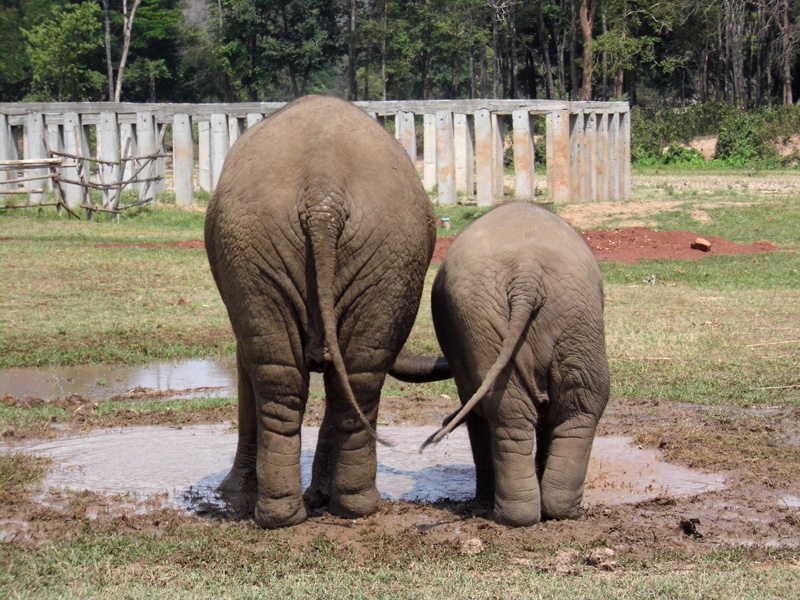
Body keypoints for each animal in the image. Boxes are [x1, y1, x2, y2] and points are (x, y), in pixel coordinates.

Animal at [204, 95, 436, 528]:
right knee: (356, 378)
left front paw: (233, 493)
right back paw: (350, 508)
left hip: (269, 248)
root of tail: (323, 196)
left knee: (283, 379)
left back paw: (285, 515)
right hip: (383, 247)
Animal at [421, 202, 610, 527]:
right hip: (548, 317)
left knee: (567, 405)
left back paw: (533, 513)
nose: (444, 421)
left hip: (565, 317)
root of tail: (527, 273)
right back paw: (534, 514)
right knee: (556, 408)